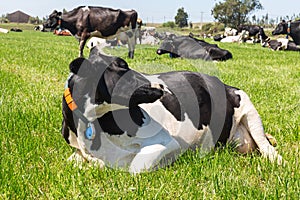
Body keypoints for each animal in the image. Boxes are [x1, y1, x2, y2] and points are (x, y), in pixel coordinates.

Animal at [61, 46, 284, 173]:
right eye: (123, 65)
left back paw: (277, 158)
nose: (161, 86)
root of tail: (222, 83)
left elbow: (135, 167)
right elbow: (75, 160)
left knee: (266, 146)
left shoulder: (166, 141)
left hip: (247, 107)